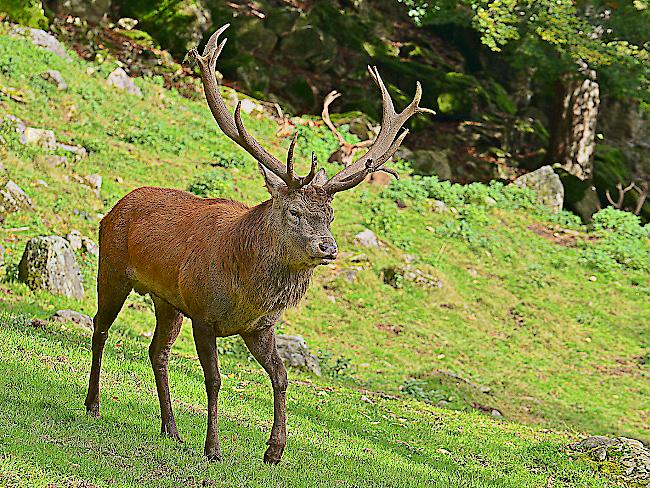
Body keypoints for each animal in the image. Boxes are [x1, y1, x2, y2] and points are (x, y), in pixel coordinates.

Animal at [85, 23, 430, 466]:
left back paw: (171, 430)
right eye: (295, 211)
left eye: (331, 214)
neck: (245, 290)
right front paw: (213, 449)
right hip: (112, 268)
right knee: (100, 327)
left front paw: (274, 450)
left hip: (166, 300)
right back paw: (94, 405)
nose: (328, 248)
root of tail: (115, 207)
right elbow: (214, 379)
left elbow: (281, 377)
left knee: (156, 351)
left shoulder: (260, 326)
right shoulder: (203, 313)